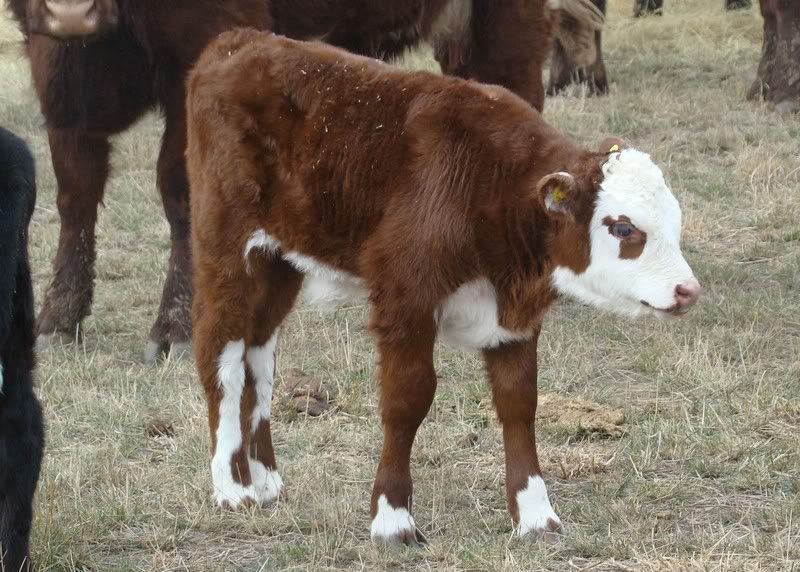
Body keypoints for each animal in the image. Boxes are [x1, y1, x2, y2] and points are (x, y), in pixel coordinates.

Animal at [7, 0, 601, 363]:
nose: (71, 13)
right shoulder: (58, 74)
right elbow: (76, 192)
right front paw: (58, 317)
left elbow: (180, 193)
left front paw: (174, 327)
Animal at [185, 29, 702, 544]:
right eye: (623, 228)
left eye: (675, 221)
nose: (687, 291)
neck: (490, 186)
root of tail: (237, 41)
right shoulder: (405, 297)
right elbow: (407, 398)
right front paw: (393, 518)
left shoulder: (515, 319)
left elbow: (520, 402)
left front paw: (536, 515)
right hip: (227, 246)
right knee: (222, 354)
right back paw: (233, 487)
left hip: (280, 263)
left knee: (259, 358)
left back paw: (266, 478)